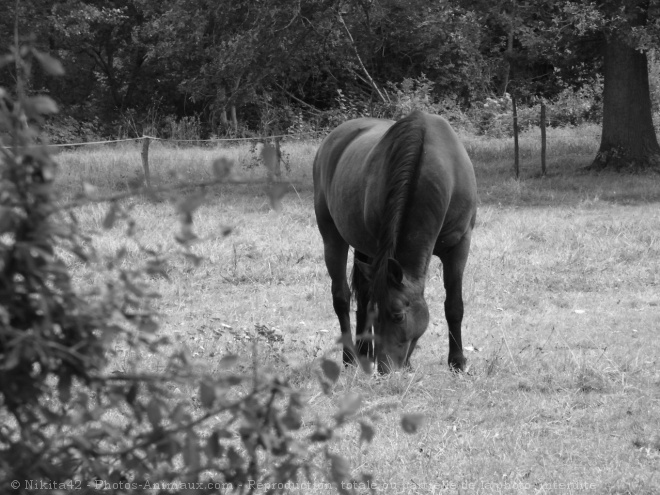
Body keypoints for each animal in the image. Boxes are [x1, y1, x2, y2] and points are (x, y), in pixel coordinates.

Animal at [312, 108, 476, 372]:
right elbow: (367, 300)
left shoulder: (459, 246)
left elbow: (454, 305)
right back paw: (351, 356)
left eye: (398, 315)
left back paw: (363, 352)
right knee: (343, 297)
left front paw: (457, 362)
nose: (385, 367)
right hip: (333, 238)